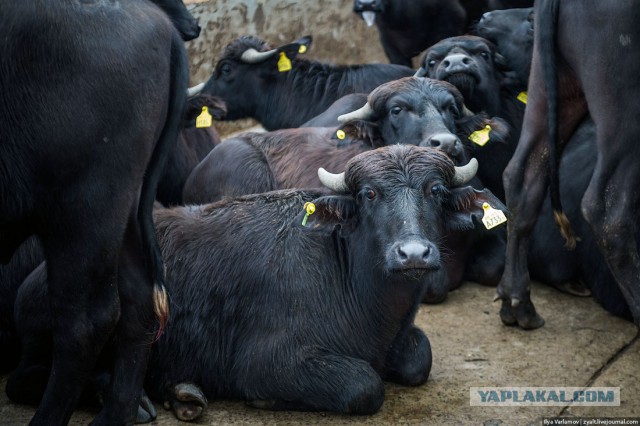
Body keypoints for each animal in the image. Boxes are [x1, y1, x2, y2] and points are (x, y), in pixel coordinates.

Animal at [12, 145, 502, 422]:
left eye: (436, 191)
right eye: (369, 194)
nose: (414, 254)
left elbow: (420, 355)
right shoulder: (268, 360)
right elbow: (366, 384)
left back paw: (180, 393)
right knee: (26, 381)